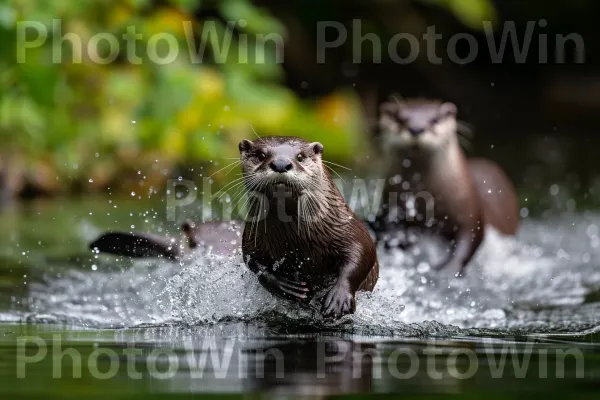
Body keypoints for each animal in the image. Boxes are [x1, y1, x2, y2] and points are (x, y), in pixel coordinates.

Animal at [240, 136, 378, 318]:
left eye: (300, 156)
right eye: (261, 155)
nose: (281, 164)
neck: (297, 239)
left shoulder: (347, 227)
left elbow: (363, 252)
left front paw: (338, 299)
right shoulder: (252, 238)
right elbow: (254, 263)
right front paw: (286, 287)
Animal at [372, 98, 516, 276]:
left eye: (434, 120)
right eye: (400, 119)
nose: (416, 129)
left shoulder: (469, 209)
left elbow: (470, 239)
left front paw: (446, 270)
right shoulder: (390, 202)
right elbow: (388, 228)